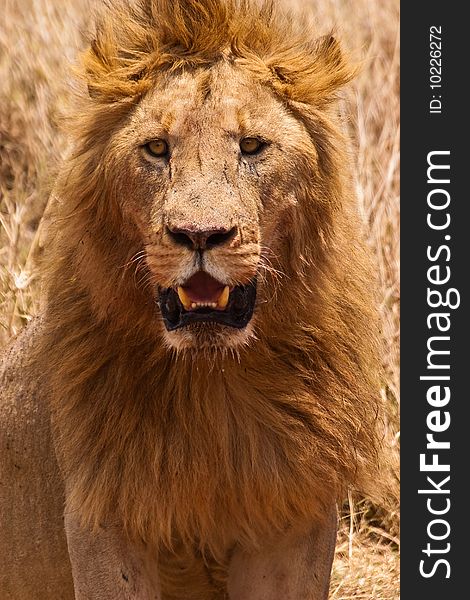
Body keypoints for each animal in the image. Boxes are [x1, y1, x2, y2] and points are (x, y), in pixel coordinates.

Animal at [0, 1, 382, 600]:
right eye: (157, 148)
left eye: (251, 146)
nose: (200, 235)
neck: (212, 383)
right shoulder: (104, 517)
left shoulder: (291, 516)